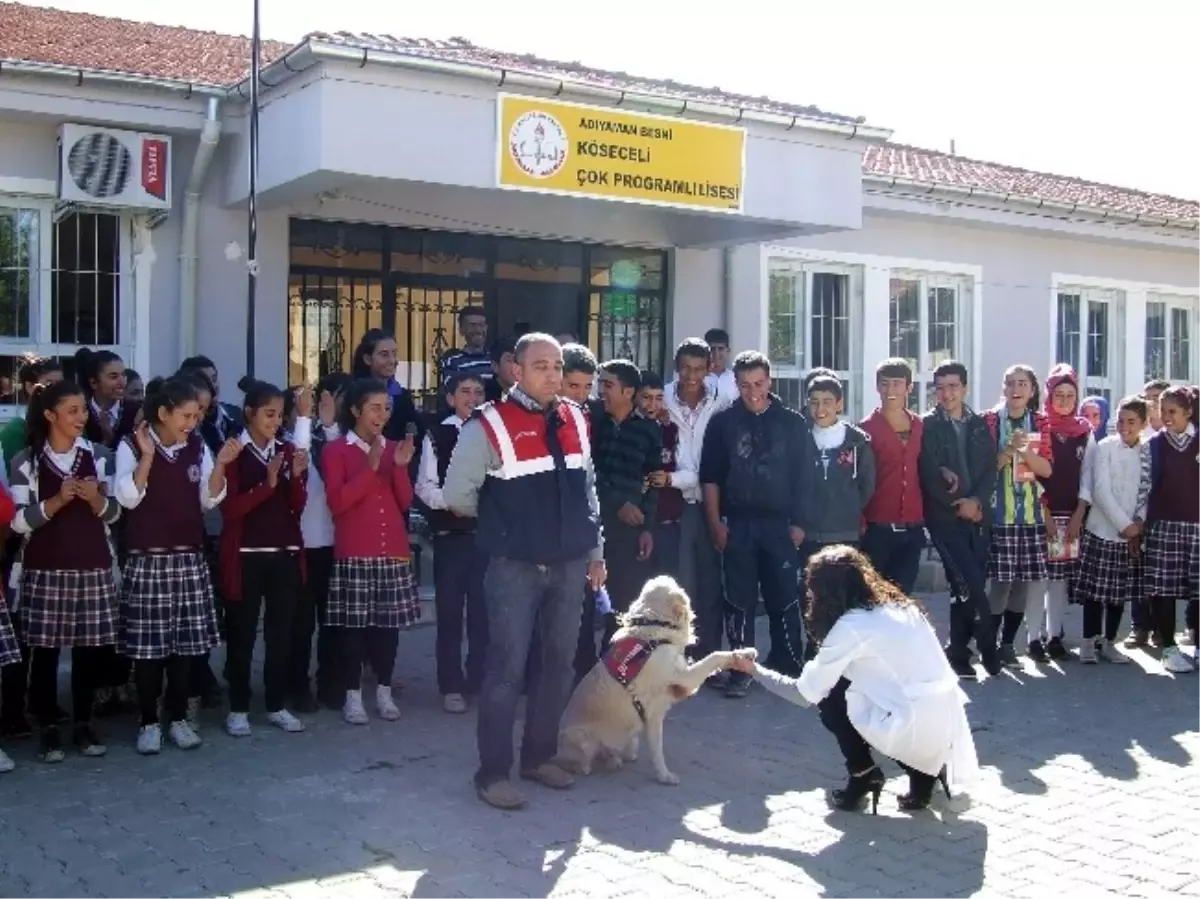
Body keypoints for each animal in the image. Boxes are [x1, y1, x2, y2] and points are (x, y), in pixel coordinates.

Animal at [556, 578, 753, 782]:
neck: (655, 628)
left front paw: (743, 654)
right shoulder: (683, 679)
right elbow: (714, 656)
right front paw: (665, 776)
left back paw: (615, 758)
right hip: (580, 738)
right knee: (579, 761)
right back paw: (584, 767)